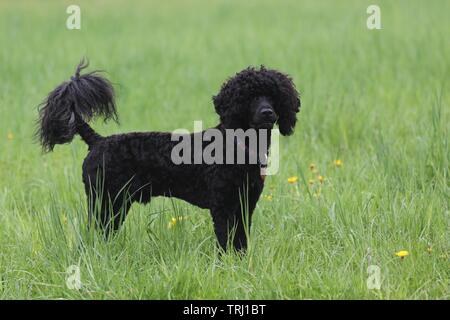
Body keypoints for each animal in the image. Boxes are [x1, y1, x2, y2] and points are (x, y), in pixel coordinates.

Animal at [37, 59, 300, 250]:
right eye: (249, 97)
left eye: (273, 95)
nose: (268, 113)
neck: (239, 144)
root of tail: (98, 140)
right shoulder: (223, 206)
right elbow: (226, 241)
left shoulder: (245, 205)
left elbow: (241, 241)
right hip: (106, 202)